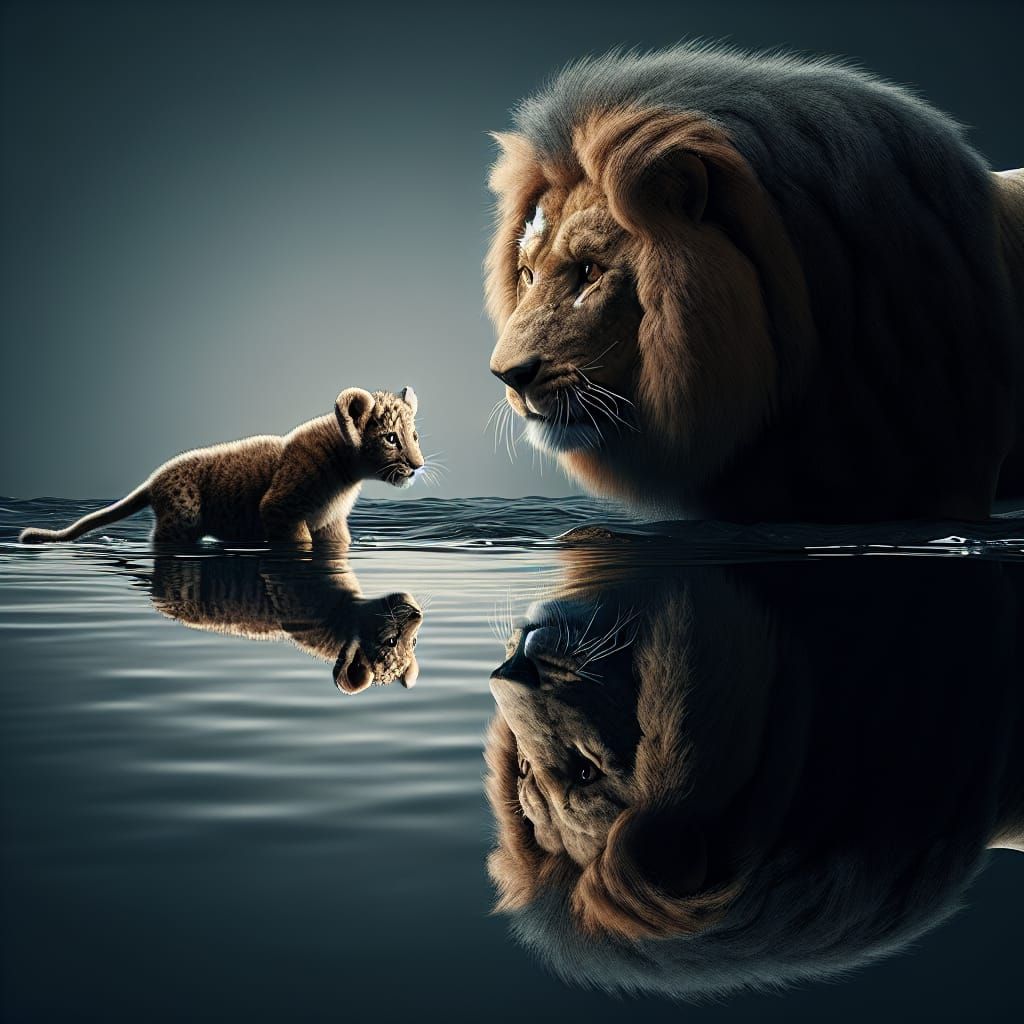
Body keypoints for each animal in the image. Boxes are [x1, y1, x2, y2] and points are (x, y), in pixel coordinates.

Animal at [18, 387, 424, 547]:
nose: (418, 466)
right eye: (391, 438)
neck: (347, 473)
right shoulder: (279, 509)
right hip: (180, 521)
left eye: (415, 435)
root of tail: (154, 478)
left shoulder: (331, 525)